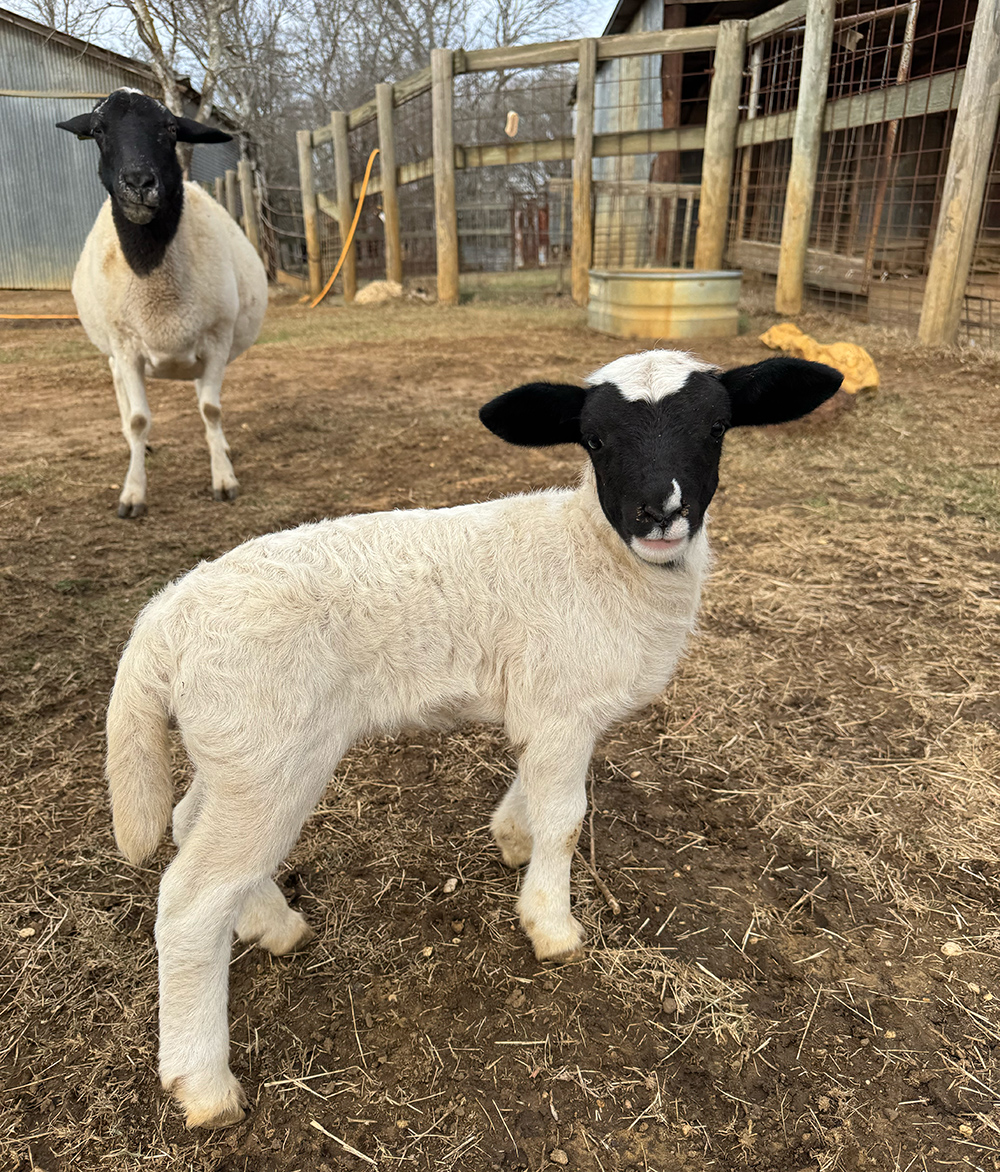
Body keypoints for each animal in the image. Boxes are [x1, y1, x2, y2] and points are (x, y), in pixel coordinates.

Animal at [57, 89, 268, 517]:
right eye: (98, 130)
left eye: (170, 128)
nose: (139, 182)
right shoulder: (126, 346)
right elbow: (140, 419)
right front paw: (132, 494)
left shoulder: (216, 340)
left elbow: (211, 410)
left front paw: (224, 479)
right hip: (114, 347)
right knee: (120, 388)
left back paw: (219, 446)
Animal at [105, 349, 842, 1128]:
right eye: (595, 439)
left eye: (717, 428)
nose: (660, 513)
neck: (599, 556)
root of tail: (161, 625)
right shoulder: (562, 705)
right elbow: (566, 818)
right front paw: (551, 924)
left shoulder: (550, 706)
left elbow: (536, 788)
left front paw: (511, 836)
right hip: (270, 754)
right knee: (191, 901)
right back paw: (204, 1083)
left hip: (232, 752)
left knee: (189, 825)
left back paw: (273, 925)